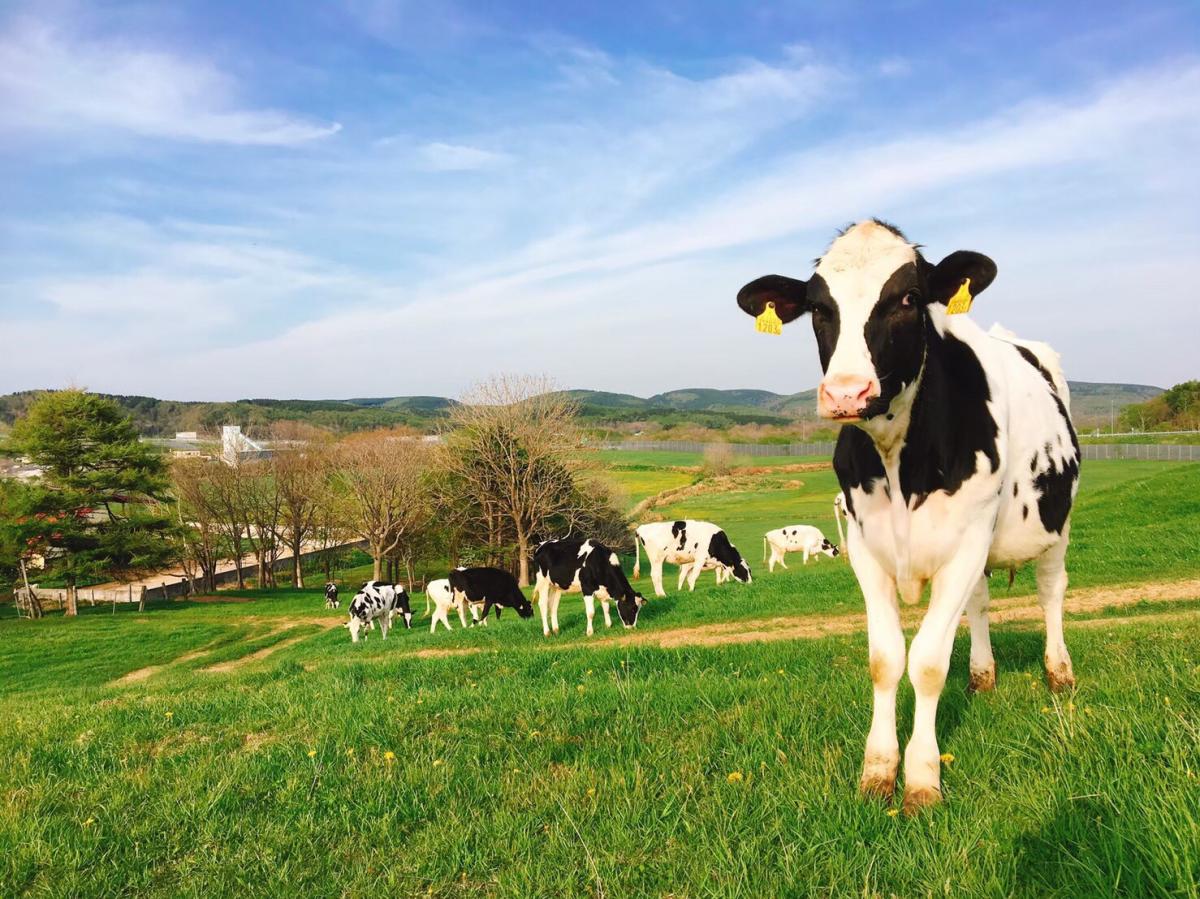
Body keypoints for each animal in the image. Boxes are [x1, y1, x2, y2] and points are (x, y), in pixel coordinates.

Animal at [734, 219, 1084, 811]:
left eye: (909, 298)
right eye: (819, 307)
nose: (847, 392)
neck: (899, 462)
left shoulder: (968, 540)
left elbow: (927, 663)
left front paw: (922, 778)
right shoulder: (866, 548)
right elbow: (886, 659)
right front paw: (878, 769)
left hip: (1054, 522)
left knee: (1051, 591)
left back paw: (1059, 672)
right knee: (980, 604)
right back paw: (983, 675)